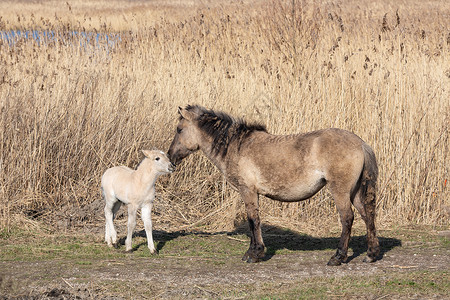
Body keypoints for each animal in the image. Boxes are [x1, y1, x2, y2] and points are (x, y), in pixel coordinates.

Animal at [168, 105, 380, 264]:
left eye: (179, 129)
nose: (170, 157)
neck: (236, 146)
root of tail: (361, 144)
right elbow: (253, 220)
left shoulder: (248, 191)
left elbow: (253, 220)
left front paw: (254, 253)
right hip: (355, 192)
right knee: (367, 214)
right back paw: (371, 254)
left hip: (340, 190)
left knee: (347, 218)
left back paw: (338, 257)